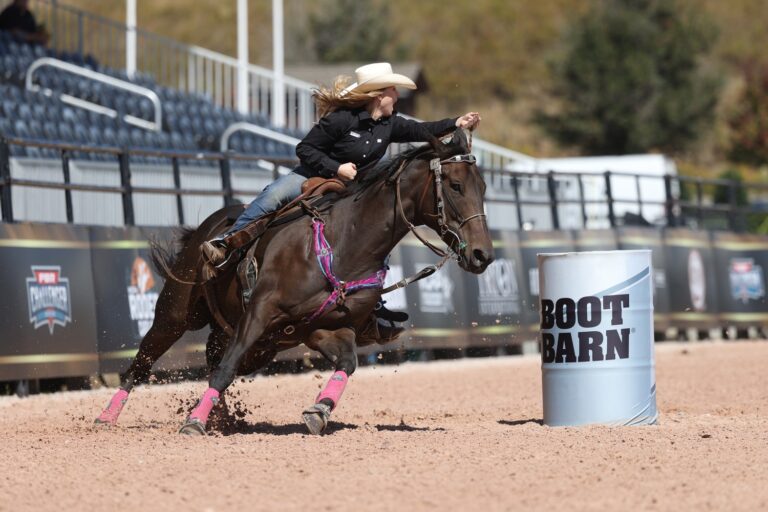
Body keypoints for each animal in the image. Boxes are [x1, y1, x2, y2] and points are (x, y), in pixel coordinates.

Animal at [94, 129, 492, 436]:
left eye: (484, 187)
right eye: (456, 185)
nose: (482, 254)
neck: (347, 242)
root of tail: (208, 229)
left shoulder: (324, 329)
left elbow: (347, 363)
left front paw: (319, 411)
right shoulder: (259, 313)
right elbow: (224, 370)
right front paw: (193, 422)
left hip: (258, 344)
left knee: (213, 359)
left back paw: (222, 418)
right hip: (177, 315)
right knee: (144, 362)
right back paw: (107, 416)